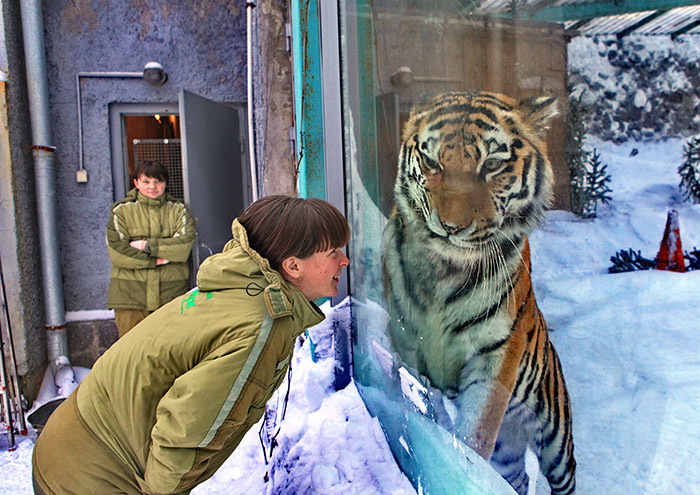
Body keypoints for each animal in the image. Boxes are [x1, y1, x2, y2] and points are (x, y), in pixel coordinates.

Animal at [381, 91, 575, 495]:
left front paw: (460, 466)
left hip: (556, 437)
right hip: (510, 448)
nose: (451, 227)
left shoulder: (495, 358)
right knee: (516, 476)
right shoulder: (406, 341)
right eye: (432, 162)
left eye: (492, 165)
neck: (445, 270)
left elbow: (474, 435)